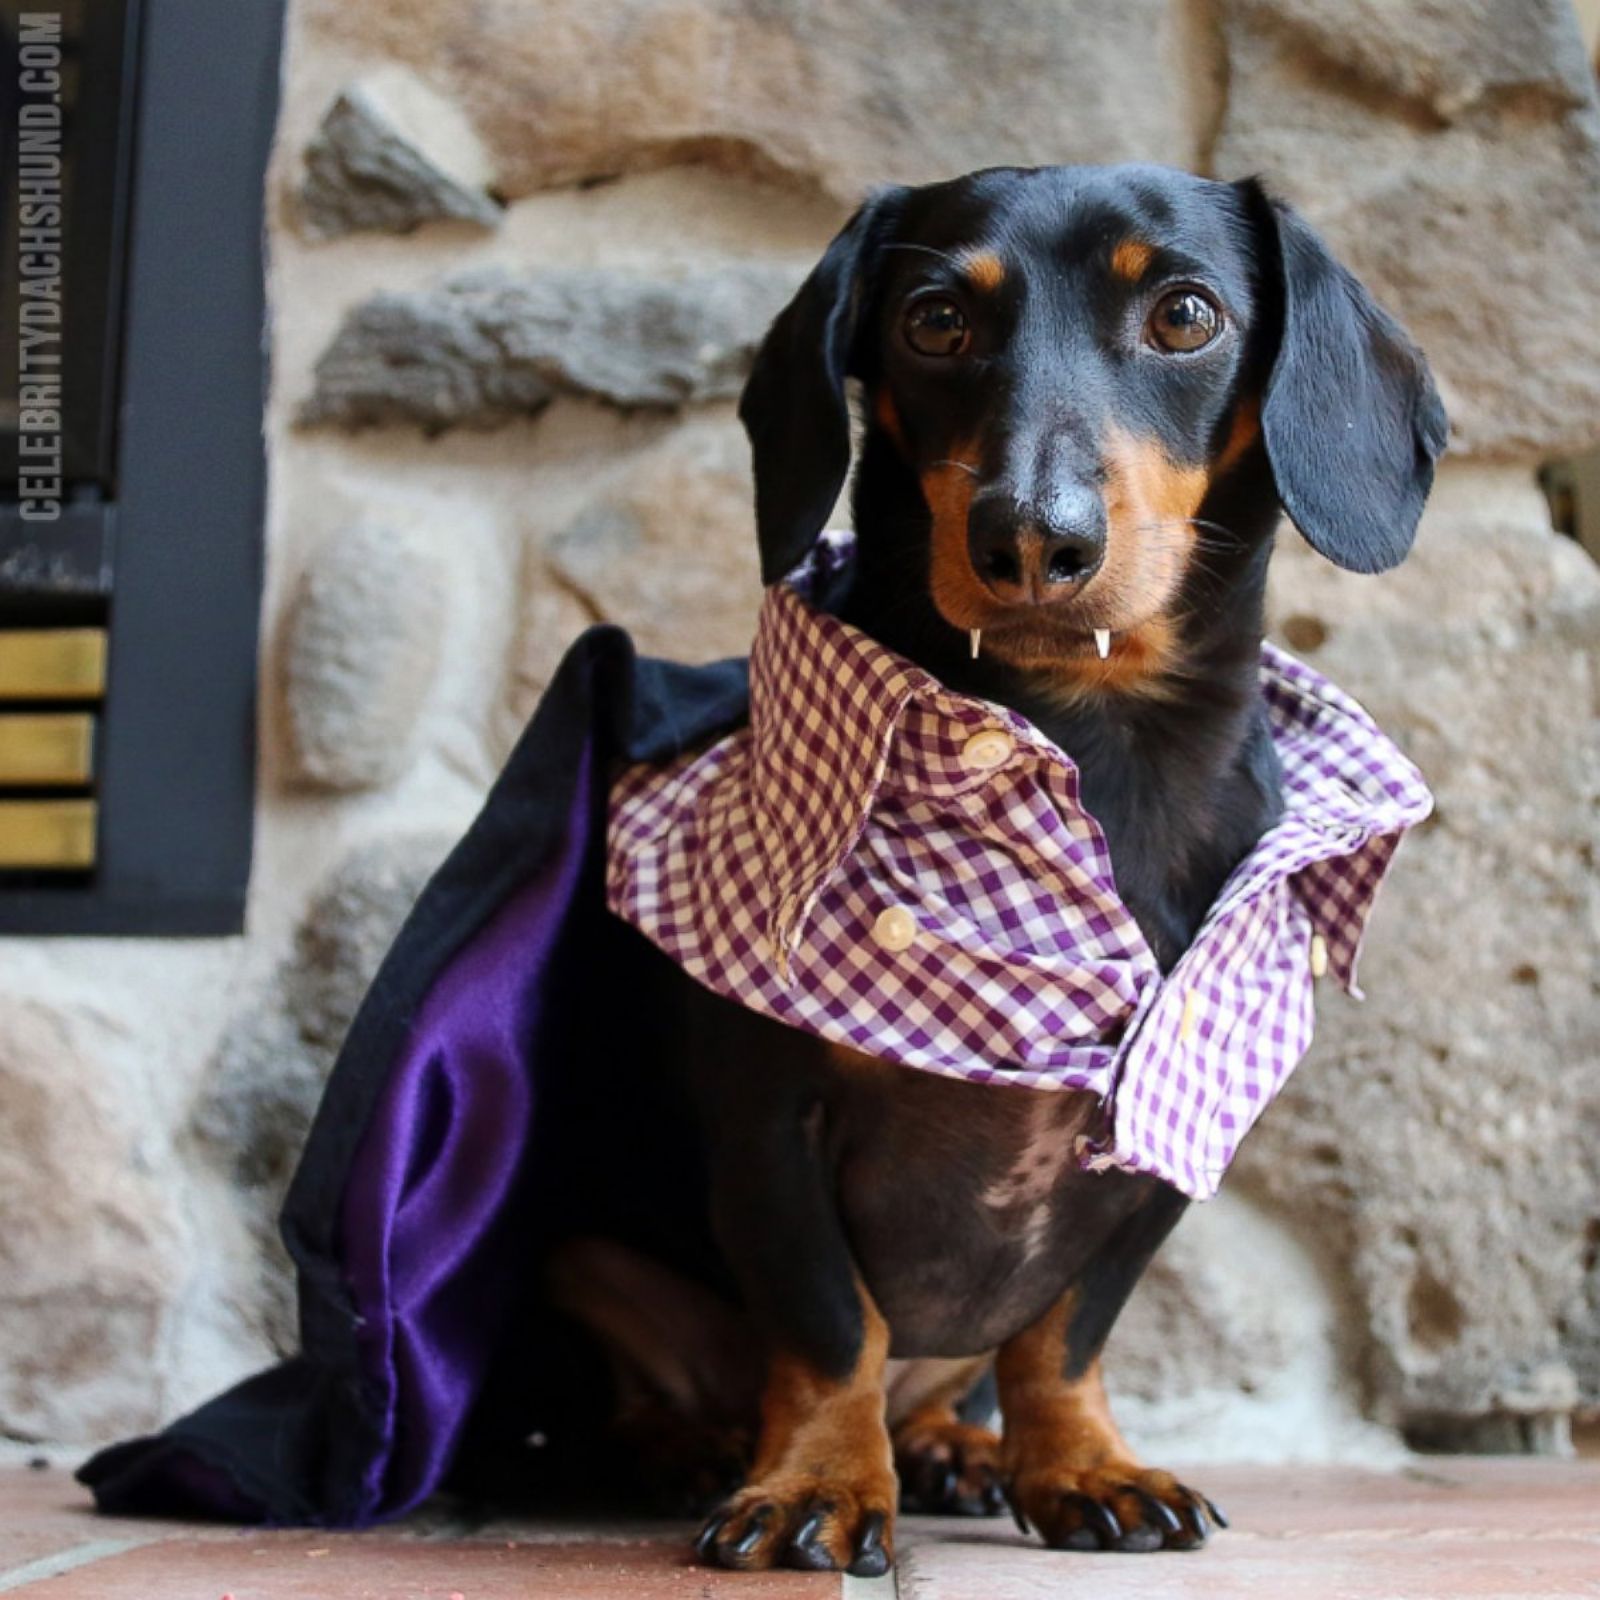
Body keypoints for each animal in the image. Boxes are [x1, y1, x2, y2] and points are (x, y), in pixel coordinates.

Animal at [550, 162, 1452, 1574]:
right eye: (932, 321)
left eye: (1185, 314)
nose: (1031, 538)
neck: (1091, 737)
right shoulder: (768, 1118)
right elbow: (829, 1325)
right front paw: (815, 1481)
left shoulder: (1163, 1139)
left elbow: (1061, 1333)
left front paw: (1077, 1464)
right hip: (584, 1250)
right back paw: (688, 1444)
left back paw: (948, 1447)